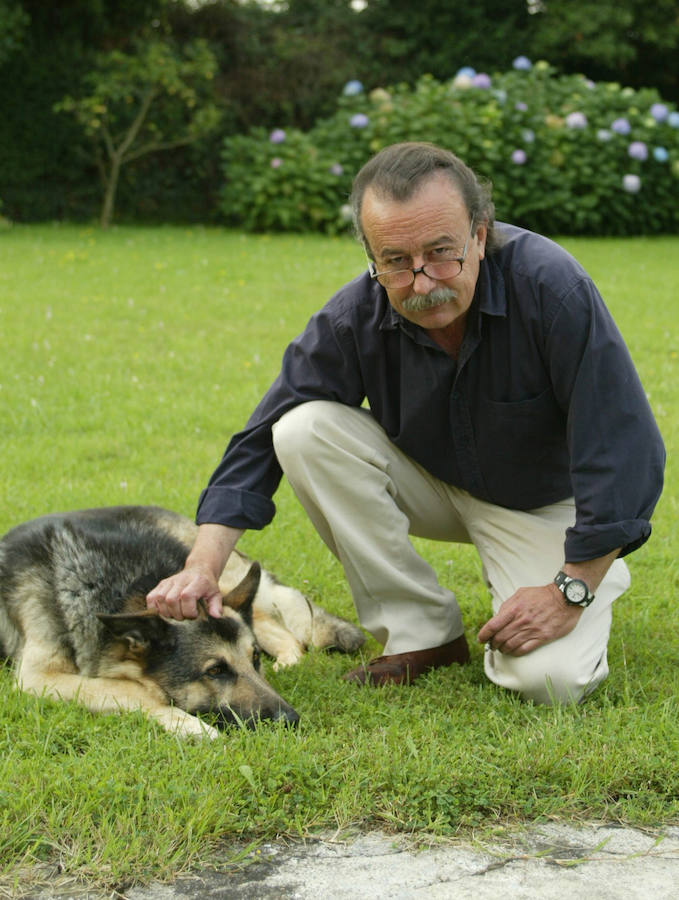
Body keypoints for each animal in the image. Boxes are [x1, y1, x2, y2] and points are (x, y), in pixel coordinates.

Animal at [0, 506, 366, 740]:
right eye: (215, 671)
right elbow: (130, 689)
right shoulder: (38, 677)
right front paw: (186, 722)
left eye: (254, 660)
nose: (290, 720)